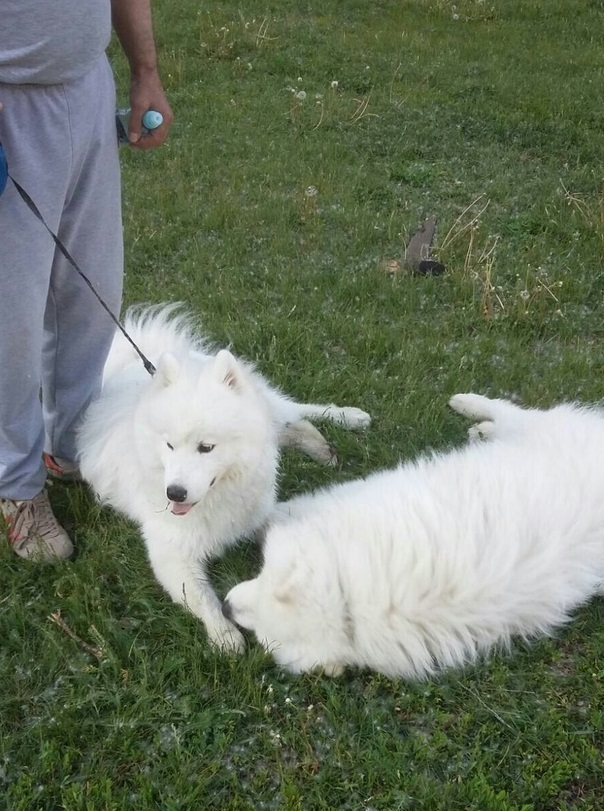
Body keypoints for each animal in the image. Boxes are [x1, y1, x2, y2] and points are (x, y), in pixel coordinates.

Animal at [224, 394, 604, 680]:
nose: (226, 607)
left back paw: (471, 408)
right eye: (261, 575)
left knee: (508, 410)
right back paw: (477, 422)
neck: (349, 600)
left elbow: (286, 511)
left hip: (535, 428)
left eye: (262, 635)